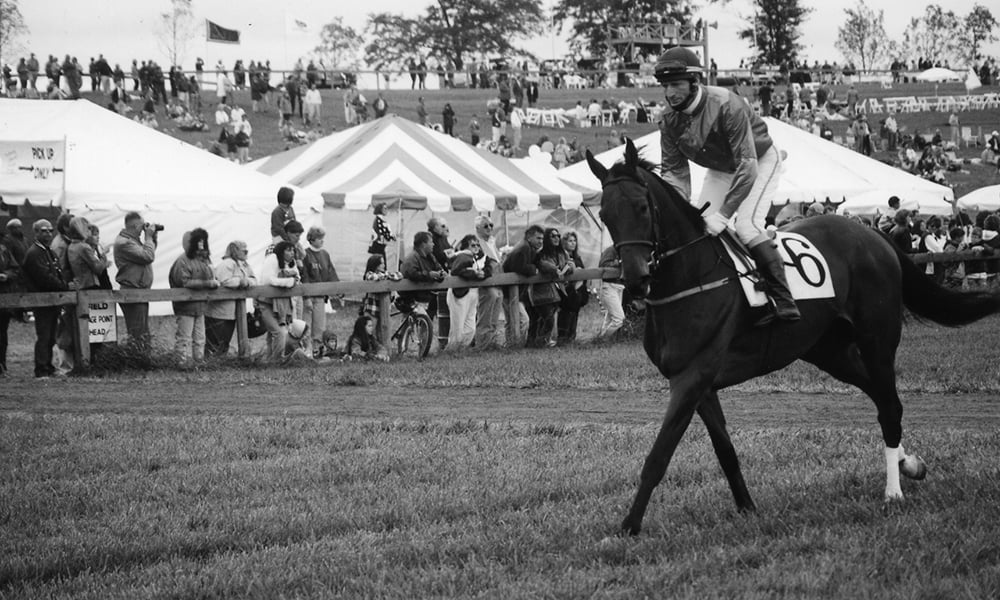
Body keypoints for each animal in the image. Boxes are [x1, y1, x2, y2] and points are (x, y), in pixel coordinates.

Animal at [584, 139, 1000, 536]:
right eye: (605, 215)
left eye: (641, 208)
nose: (635, 279)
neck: (693, 278)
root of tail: (874, 235)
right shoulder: (698, 383)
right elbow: (725, 449)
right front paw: (747, 508)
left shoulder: (693, 377)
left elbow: (659, 455)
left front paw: (628, 527)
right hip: (830, 350)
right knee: (883, 399)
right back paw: (909, 464)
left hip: (878, 340)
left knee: (890, 405)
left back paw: (893, 492)